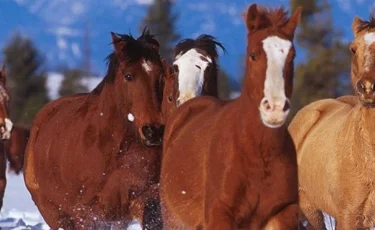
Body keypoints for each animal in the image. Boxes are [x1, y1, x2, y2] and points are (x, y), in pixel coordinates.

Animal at [24, 29, 167, 230]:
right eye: (128, 76)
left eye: (161, 75)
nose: (153, 130)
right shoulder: (85, 215)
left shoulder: (143, 202)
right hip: (53, 213)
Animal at [160, 4, 302, 230]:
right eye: (253, 55)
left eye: (292, 56)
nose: (275, 107)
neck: (258, 152)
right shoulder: (220, 215)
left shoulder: (283, 212)